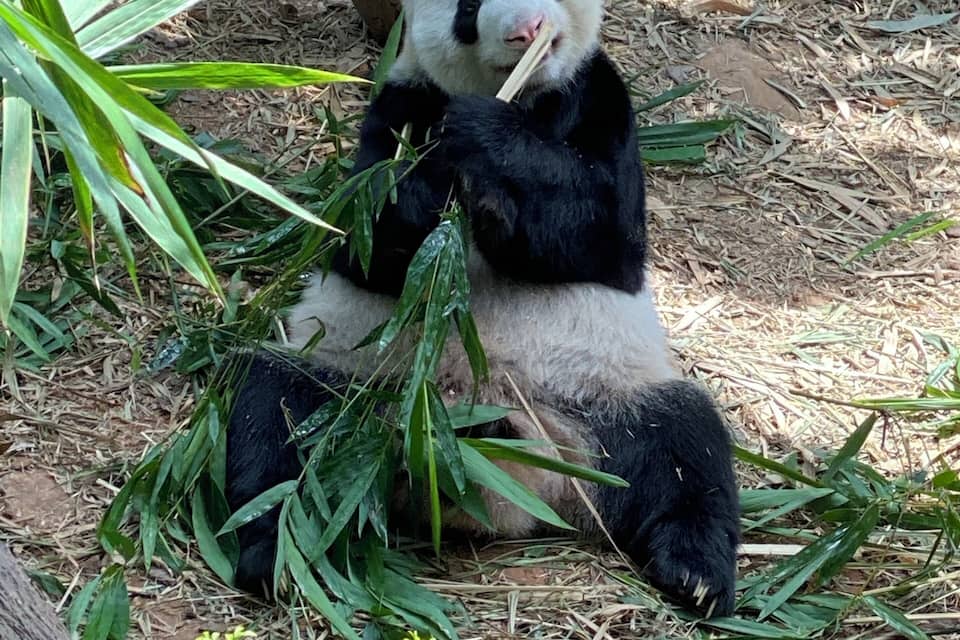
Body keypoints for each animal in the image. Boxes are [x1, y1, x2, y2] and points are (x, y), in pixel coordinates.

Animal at [225, 0, 740, 618]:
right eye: (467, 11)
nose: (526, 31)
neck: (520, 95)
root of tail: (535, 479)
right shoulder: (400, 103)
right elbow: (362, 239)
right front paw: (428, 191)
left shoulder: (598, 99)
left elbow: (602, 227)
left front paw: (489, 164)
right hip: (349, 385)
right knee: (274, 418)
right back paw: (279, 549)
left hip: (611, 400)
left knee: (687, 447)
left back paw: (695, 573)